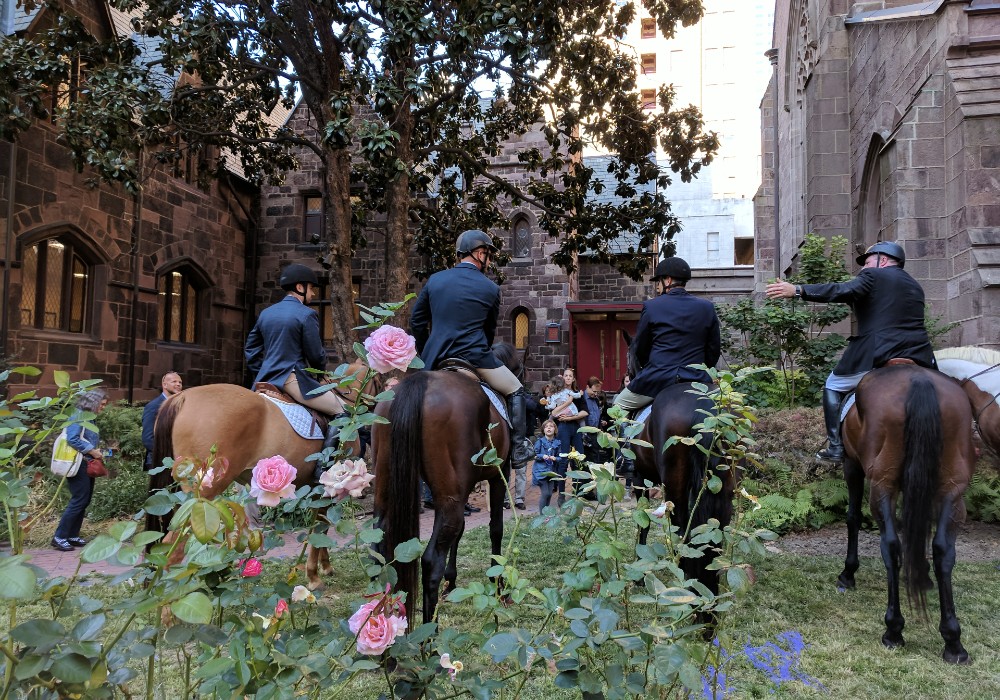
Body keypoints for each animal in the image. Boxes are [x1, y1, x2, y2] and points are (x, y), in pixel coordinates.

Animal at [145, 364, 372, 588]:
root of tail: (182, 397)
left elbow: (321, 526)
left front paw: (325, 567)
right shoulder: (329, 486)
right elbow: (321, 527)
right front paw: (314, 576)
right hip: (204, 496)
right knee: (173, 548)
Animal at [836, 364, 976, 664]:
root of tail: (919, 380)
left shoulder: (851, 464)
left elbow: (853, 518)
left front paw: (848, 572)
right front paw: (922, 576)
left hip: (882, 484)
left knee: (891, 546)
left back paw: (893, 629)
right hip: (952, 488)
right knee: (943, 549)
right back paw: (953, 641)